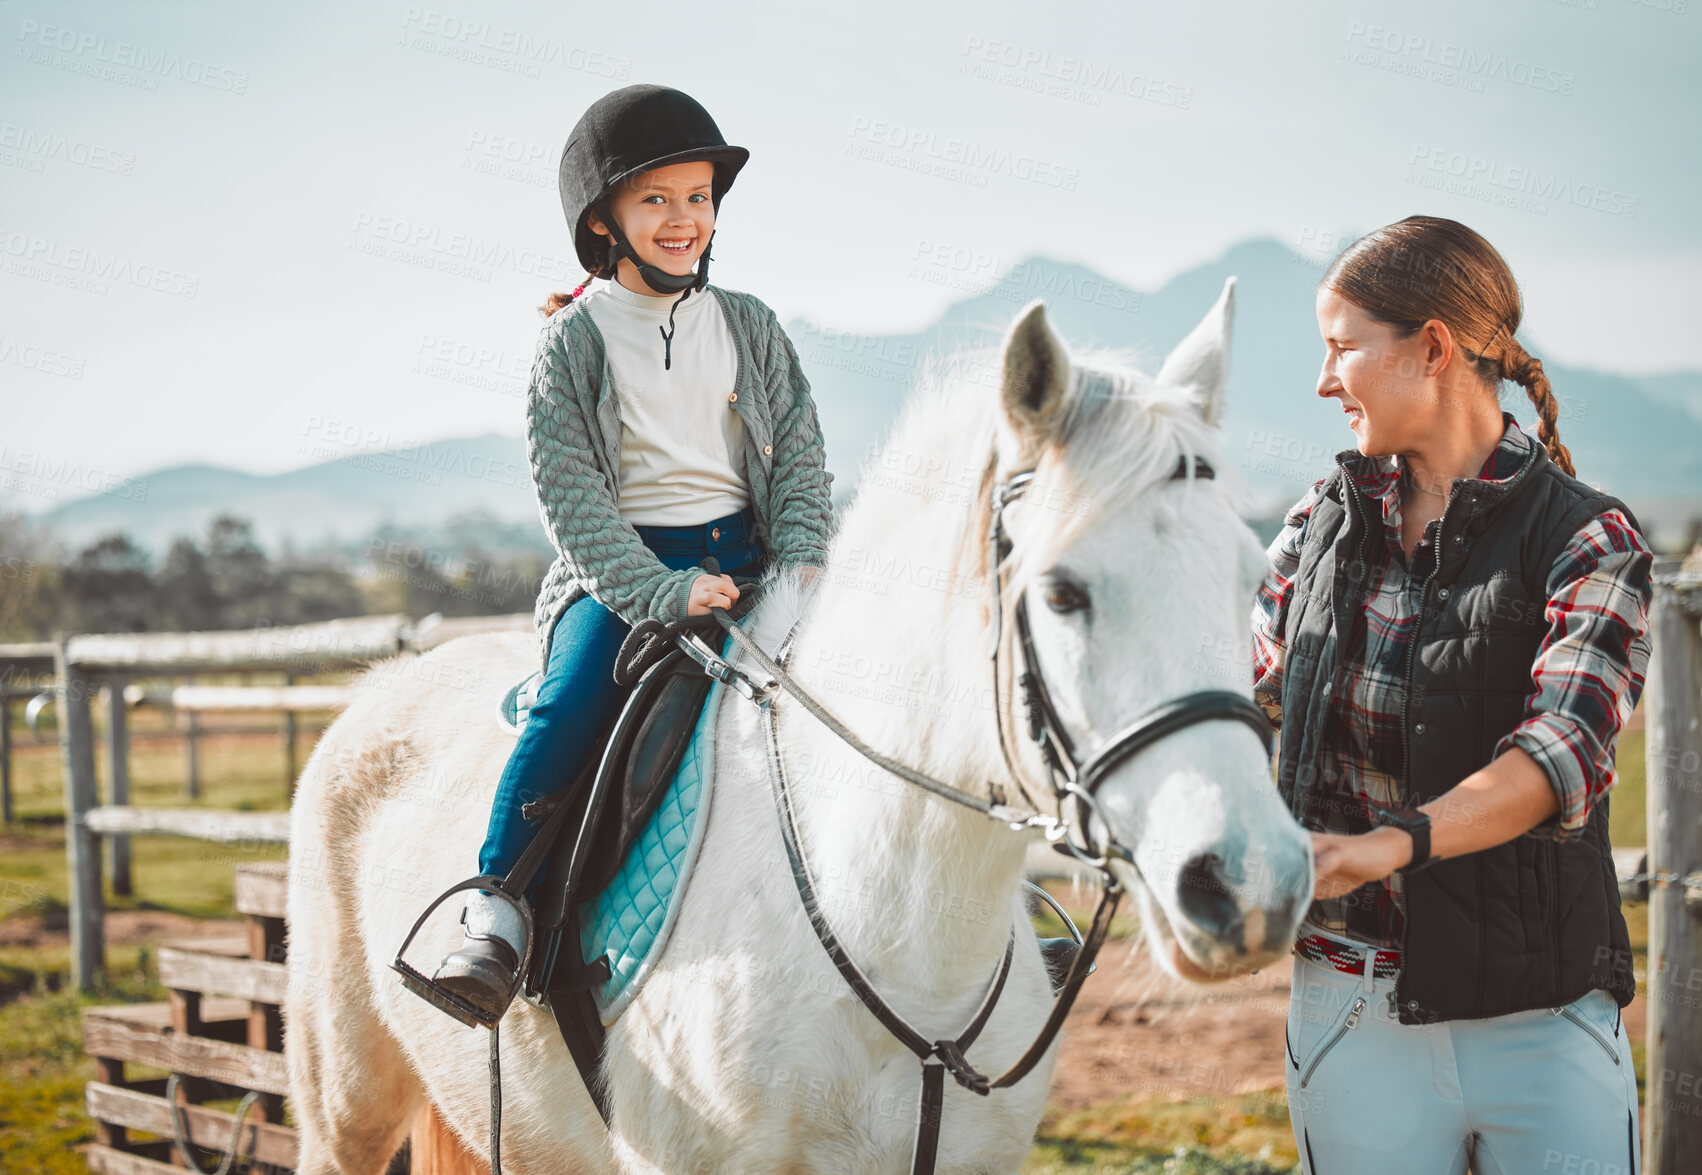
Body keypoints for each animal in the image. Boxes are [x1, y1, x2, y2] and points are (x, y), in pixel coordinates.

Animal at [285, 284, 1307, 1171]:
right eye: (1062, 593)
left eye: (1253, 577)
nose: (1249, 883)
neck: (890, 924)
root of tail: (379, 687)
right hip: (346, 1108)